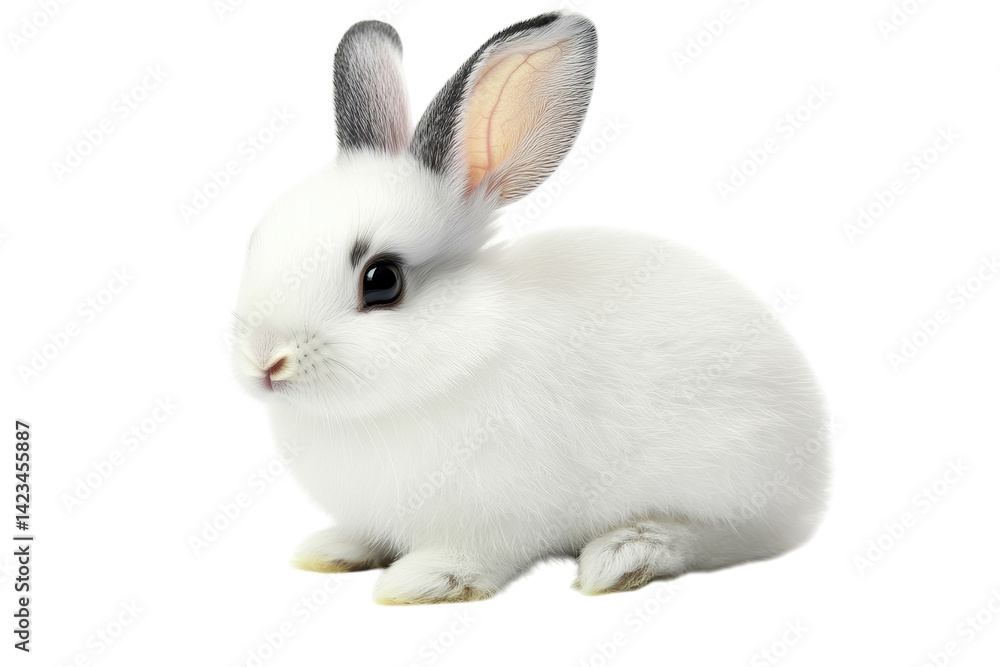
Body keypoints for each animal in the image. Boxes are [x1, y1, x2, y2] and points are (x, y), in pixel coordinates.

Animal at [231, 12, 830, 605]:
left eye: (383, 280)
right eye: (256, 240)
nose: (265, 361)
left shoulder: (498, 517)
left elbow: (476, 554)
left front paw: (425, 580)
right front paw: (331, 550)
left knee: (725, 536)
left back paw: (627, 553)